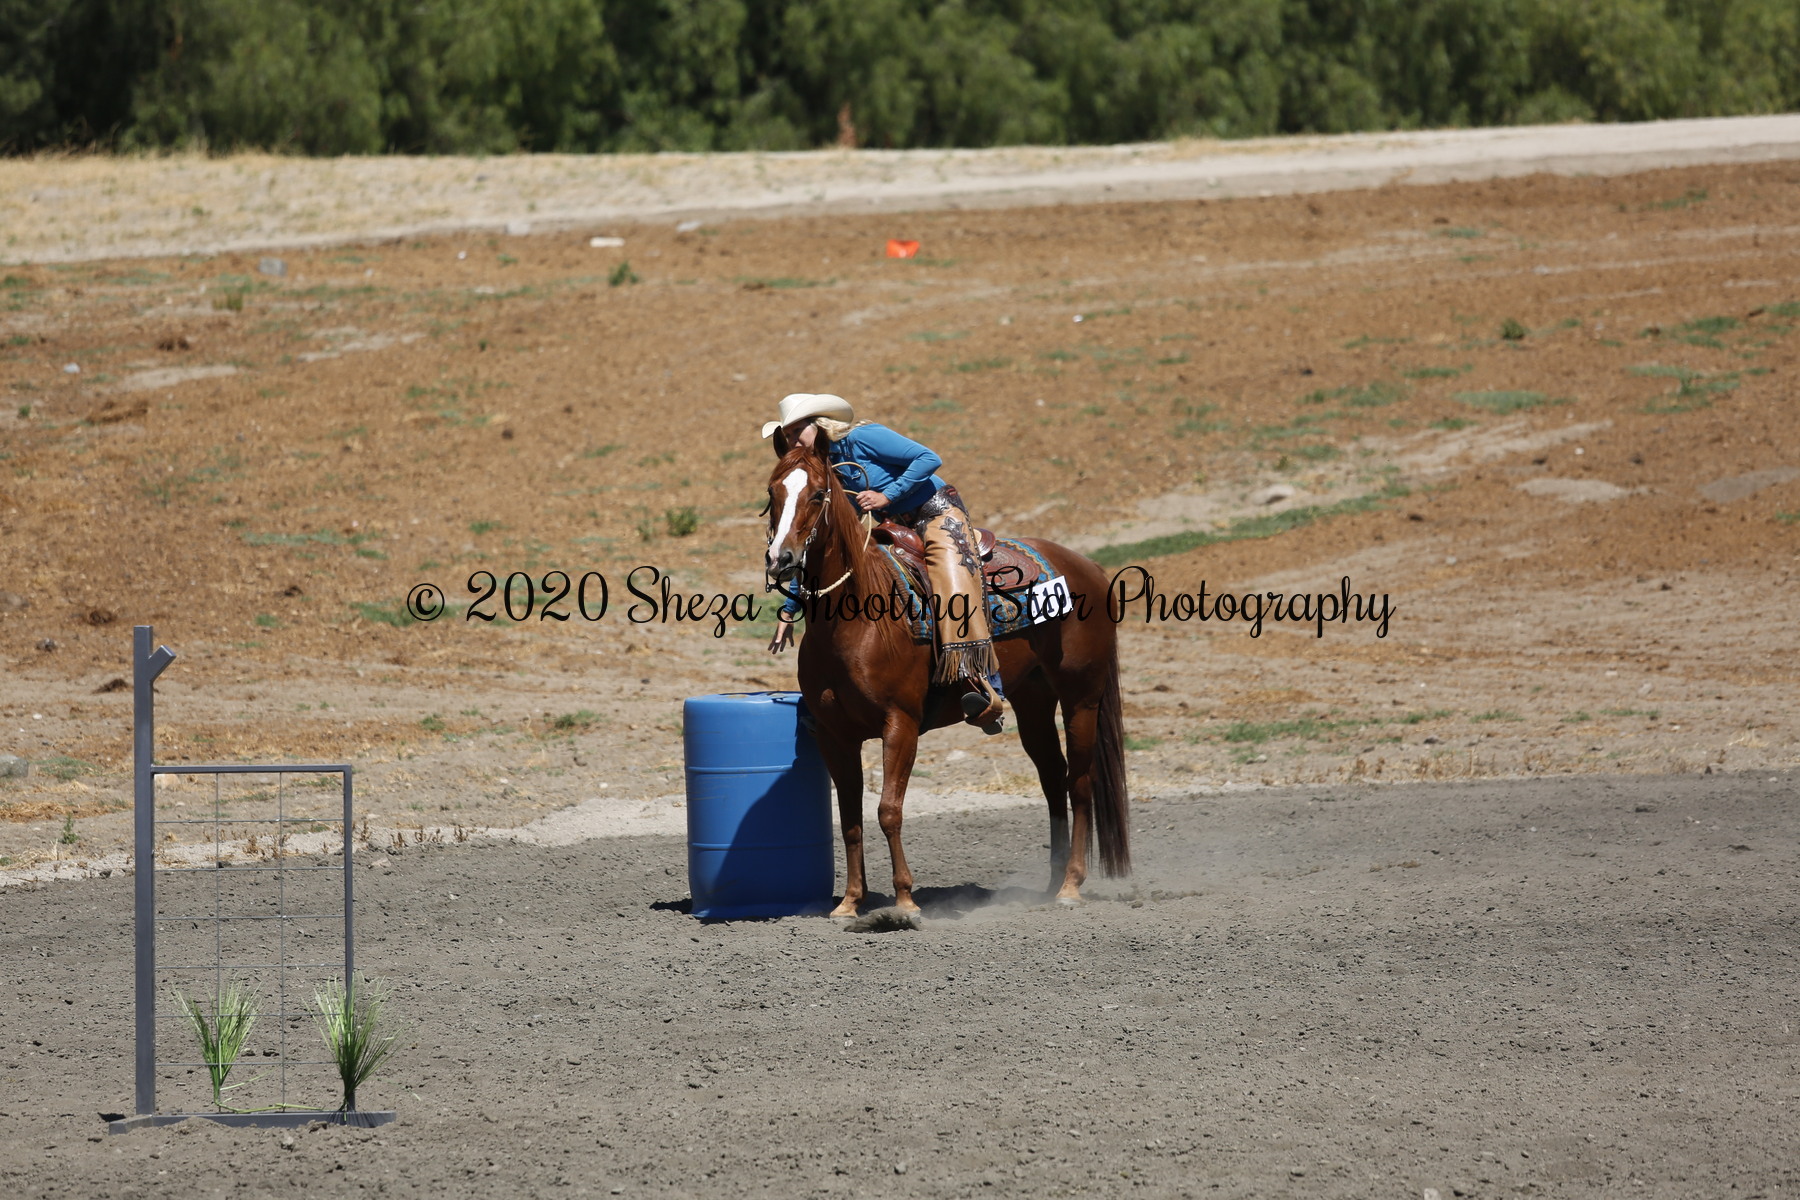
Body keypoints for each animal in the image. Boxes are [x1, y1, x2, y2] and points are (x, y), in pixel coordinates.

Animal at [763, 436, 1129, 913]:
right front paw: (850, 902)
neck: (855, 618)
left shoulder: (900, 724)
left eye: (818, 494)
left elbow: (888, 810)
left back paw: (1070, 886)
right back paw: (1049, 886)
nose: (781, 558)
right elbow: (849, 817)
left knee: (1080, 782)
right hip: (1034, 699)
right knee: (1053, 777)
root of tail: (1090, 567)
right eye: (772, 492)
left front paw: (905, 901)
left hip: (1081, 695)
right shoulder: (833, 733)